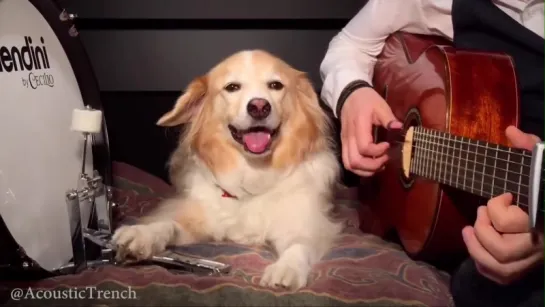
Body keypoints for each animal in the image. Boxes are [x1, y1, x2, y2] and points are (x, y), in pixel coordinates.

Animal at [110, 49, 340, 290]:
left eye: (275, 85)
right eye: (232, 87)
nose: (259, 106)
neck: (254, 173)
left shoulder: (306, 226)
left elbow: (299, 245)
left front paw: (287, 268)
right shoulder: (202, 220)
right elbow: (168, 224)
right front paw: (142, 234)